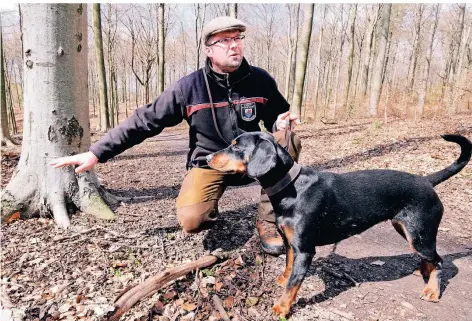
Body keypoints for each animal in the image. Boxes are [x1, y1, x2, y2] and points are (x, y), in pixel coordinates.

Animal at [206, 131, 472, 316]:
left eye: (236, 145)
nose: (207, 157)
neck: (291, 187)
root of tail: (427, 181)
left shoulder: (305, 250)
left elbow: (294, 284)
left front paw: (281, 308)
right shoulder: (291, 243)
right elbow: (288, 266)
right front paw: (282, 279)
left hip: (419, 233)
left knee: (439, 261)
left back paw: (432, 292)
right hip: (408, 231)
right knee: (431, 258)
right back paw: (423, 272)